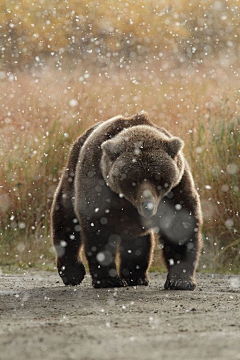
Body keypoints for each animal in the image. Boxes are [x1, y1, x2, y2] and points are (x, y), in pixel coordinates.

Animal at [51, 114, 202, 292]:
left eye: (157, 177)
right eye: (133, 179)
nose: (148, 206)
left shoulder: (177, 189)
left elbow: (180, 227)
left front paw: (180, 281)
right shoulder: (98, 186)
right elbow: (98, 230)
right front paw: (108, 280)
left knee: (138, 241)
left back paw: (136, 276)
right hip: (72, 174)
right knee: (66, 220)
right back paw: (72, 273)